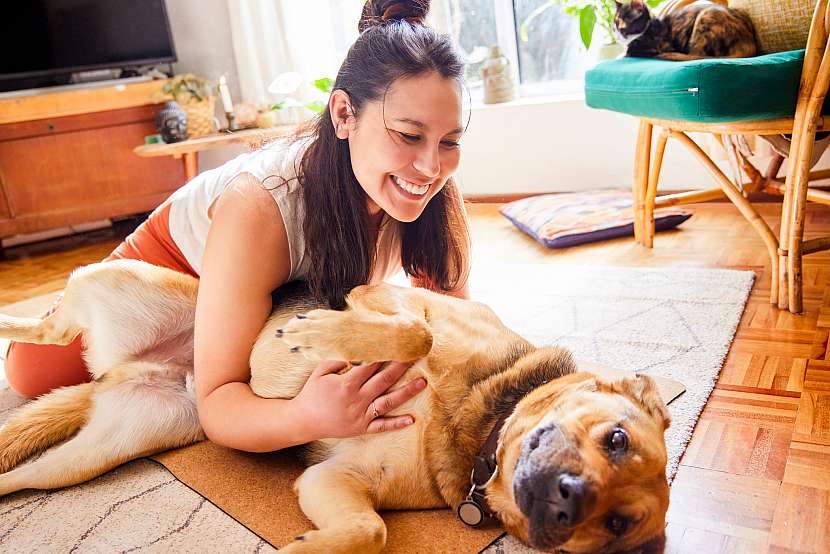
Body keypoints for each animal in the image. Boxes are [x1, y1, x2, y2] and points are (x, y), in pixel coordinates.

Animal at [0, 260, 668, 552]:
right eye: (616, 438)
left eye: (616, 525)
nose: (568, 500)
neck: (480, 423)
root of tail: (142, 369)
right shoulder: (388, 296)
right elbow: (413, 335)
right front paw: (321, 334)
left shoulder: (334, 480)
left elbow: (368, 529)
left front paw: (304, 548)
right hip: (120, 278)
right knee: (53, 321)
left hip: (87, 458)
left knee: (26, 472)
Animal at [616, 0, 764, 60]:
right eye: (615, 22)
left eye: (624, 21)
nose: (617, 33)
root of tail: (748, 43)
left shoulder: (660, 46)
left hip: (705, 19)